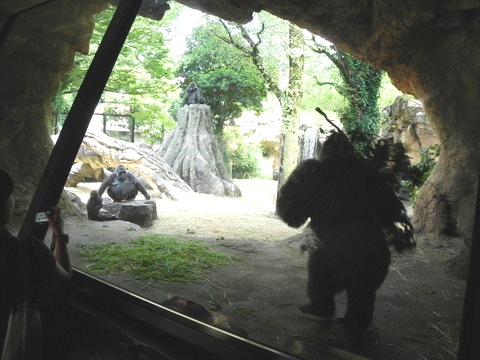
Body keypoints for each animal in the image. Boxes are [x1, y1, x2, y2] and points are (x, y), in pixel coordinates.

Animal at [276, 130, 414, 334]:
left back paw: (320, 309)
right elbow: (390, 209)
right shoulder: (373, 178)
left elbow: (292, 210)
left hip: (337, 263)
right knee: (363, 293)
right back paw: (356, 323)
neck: (344, 162)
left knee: (319, 274)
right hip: (376, 265)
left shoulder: (309, 168)